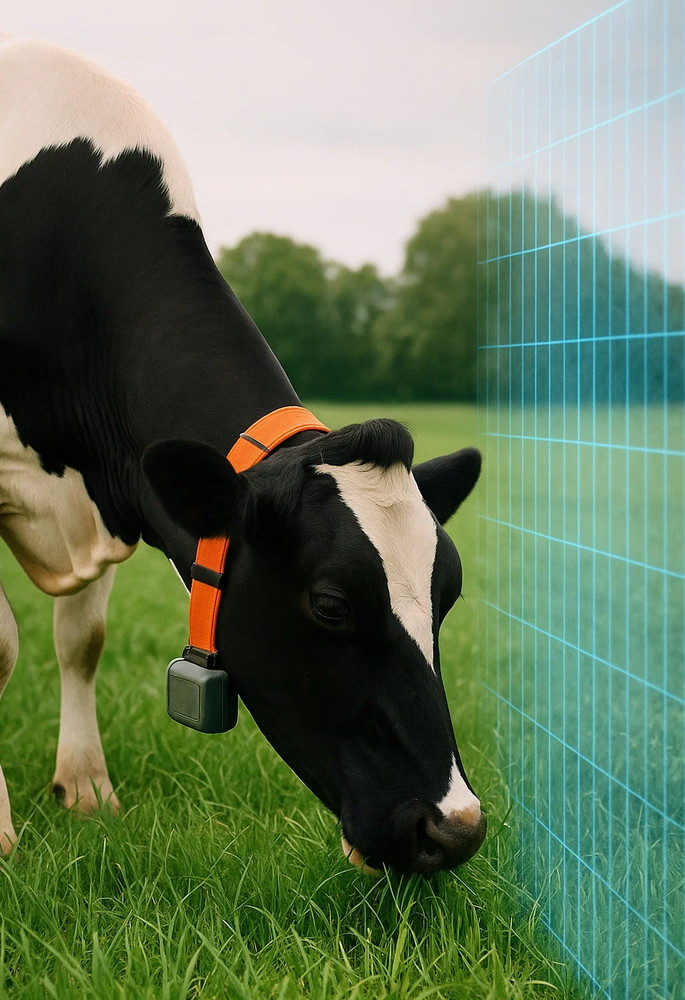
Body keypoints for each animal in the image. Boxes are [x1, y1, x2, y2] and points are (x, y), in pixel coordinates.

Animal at [0, 34, 486, 874]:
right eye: (330, 605)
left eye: (446, 594)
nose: (454, 828)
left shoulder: (111, 483)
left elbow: (81, 641)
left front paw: (85, 790)